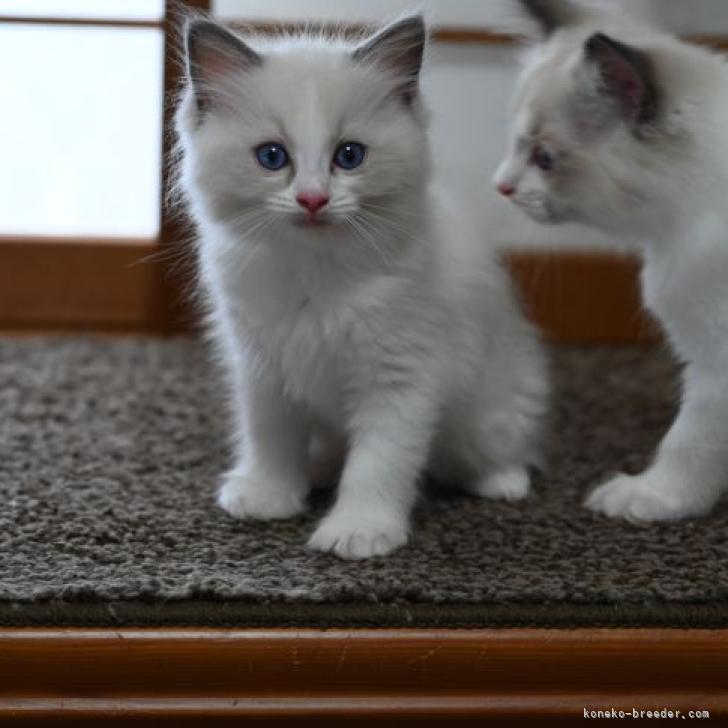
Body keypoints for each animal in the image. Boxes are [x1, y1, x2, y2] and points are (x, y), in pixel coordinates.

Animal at [176, 17, 544, 560]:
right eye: (272, 157)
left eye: (349, 156)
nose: (312, 200)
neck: (314, 271)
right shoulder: (263, 367)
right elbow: (270, 439)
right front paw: (269, 495)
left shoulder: (399, 376)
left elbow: (378, 463)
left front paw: (359, 531)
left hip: (489, 413)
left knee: (494, 449)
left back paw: (502, 482)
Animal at [494, 1, 728, 524]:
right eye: (513, 144)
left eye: (544, 158)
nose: (501, 186)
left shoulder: (715, 359)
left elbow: (689, 439)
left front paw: (654, 498)